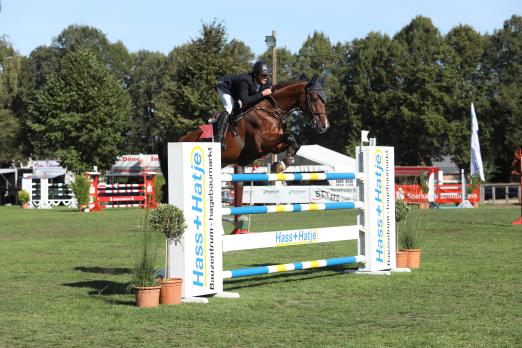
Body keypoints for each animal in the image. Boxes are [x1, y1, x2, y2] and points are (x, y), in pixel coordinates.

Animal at [158, 76, 330, 207]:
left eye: (324, 99)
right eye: (314, 98)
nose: (324, 126)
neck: (270, 110)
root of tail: (175, 142)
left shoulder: (274, 146)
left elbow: (295, 141)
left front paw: (282, 163)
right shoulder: (261, 144)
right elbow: (290, 137)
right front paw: (282, 163)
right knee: (167, 190)